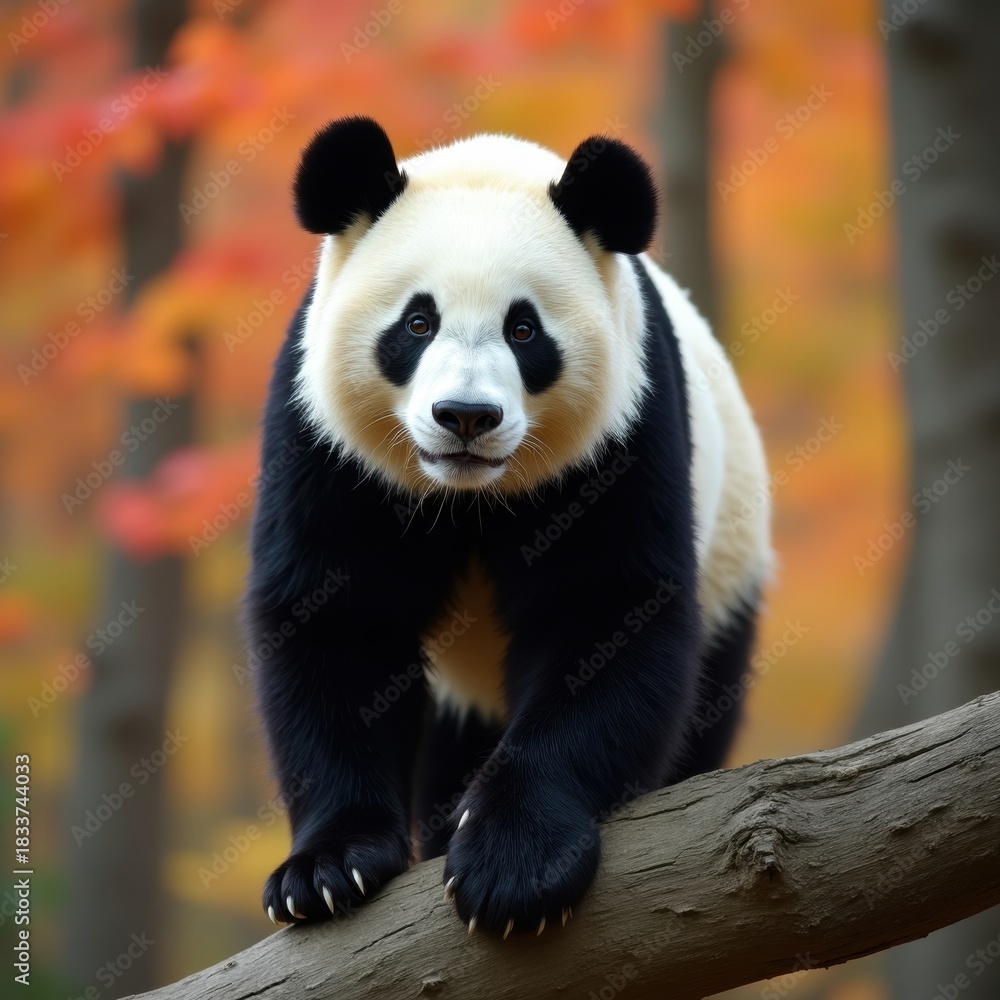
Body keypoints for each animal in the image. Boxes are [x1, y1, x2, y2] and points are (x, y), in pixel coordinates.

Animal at [247, 115, 771, 937]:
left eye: (524, 330)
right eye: (417, 322)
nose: (465, 416)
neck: (467, 495)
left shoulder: (620, 435)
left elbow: (603, 618)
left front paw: (514, 865)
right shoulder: (327, 445)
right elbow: (337, 623)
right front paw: (326, 871)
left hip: (733, 562)